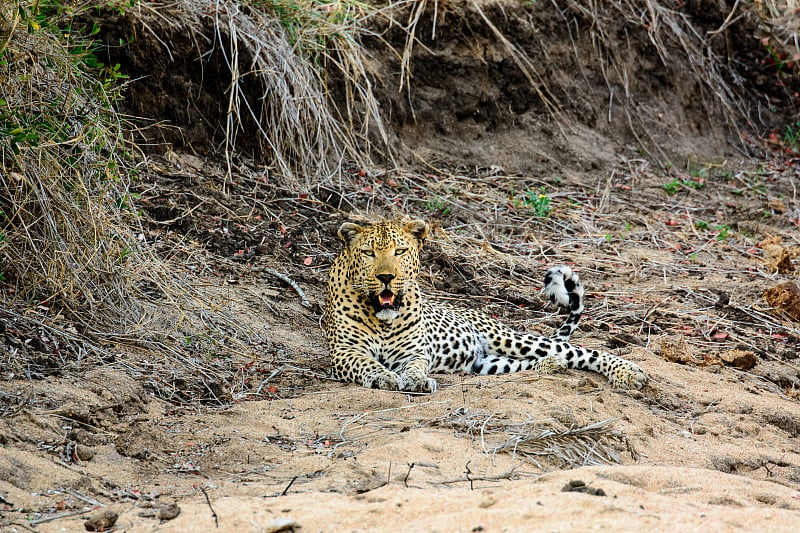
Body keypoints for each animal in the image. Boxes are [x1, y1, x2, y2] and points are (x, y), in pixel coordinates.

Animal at [324, 218, 648, 392]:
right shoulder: (344, 352)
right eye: (368, 253)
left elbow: (415, 367)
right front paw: (385, 377)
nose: (386, 277)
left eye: (400, 251)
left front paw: (416, 380)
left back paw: (630, 373)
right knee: (532, 362)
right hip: (487, 362)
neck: (383, 317)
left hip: (509, 338)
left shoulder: (414, 352)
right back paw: (551, 365)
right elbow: (366, 363)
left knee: (583, 351)